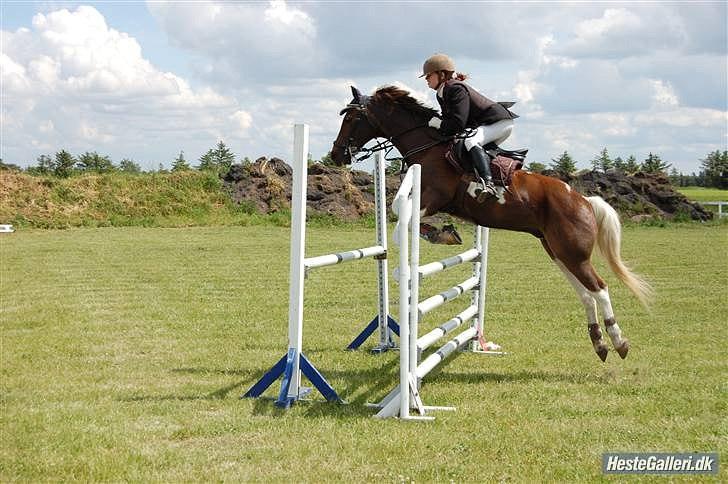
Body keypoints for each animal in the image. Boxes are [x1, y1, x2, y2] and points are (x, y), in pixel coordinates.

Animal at [330, 86, 653, 362]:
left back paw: (618, 341)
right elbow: (401, 210)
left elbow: (400, 212)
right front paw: (439, 233)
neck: (427, 145)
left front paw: (413, 255)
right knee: (586, 294)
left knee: (600, 288)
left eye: (352, 118)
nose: (336, 154)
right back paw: (599, 344)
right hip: (558, 252)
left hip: (574, 254)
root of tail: (584, 200)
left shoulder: (433, 196)